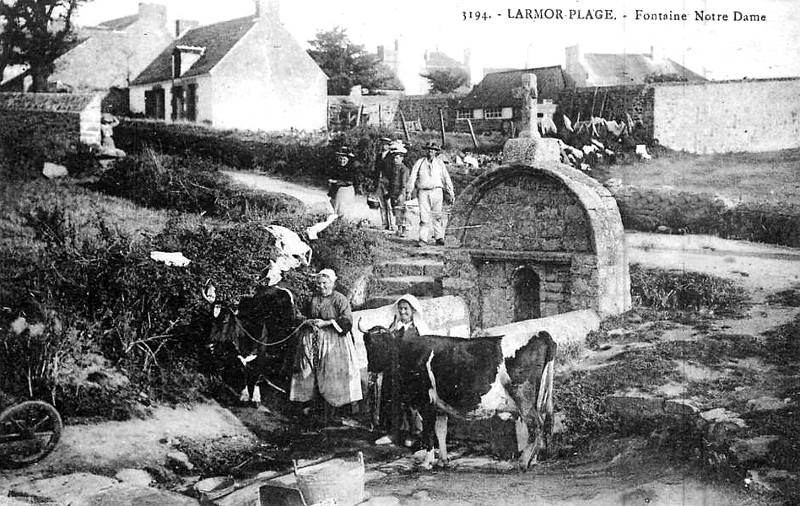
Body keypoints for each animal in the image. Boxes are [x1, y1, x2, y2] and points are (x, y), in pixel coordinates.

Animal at [362, 324, 556, 470]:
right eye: (369, 343)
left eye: (384, 345)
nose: (371, 367)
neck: (409, 354)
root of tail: (541, 334)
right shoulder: (439, 406)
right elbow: (441, 431)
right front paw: (443, 460)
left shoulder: (425, 403)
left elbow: (428, 432)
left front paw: (427, 462)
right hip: (538, 398)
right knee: (540, 423)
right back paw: (533, 459)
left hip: (523, 396)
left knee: (535, 424)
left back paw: (522, 462)